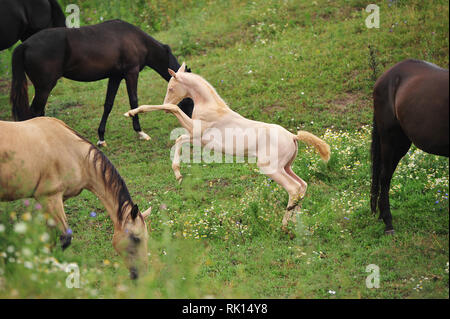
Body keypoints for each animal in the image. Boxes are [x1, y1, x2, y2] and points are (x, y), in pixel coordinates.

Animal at [8, 18, 192, 146]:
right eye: (190, 99)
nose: (192, 125)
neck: (136, 39)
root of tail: (24, 45)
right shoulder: (131, 73)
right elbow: (134, 101)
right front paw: (140, 132)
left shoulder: (115, 76)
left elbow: (108, 104)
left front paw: (101, 138)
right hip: (44, 88)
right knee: (35, 113)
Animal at [124, 63, 330, 232]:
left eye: (171, 87)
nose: (166, 102)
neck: (212, 107)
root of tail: (293, 136)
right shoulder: (198, 138)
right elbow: (179, 139)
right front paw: (178, 174)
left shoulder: (197, 133)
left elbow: (177, 121)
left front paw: (131, 112)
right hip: (286, 167)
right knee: (302, 186)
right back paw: (297, 223)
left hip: (271, 168)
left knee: (294, 189)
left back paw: (285, 225)